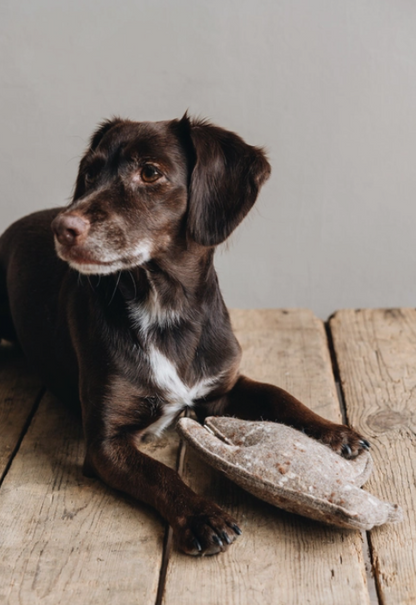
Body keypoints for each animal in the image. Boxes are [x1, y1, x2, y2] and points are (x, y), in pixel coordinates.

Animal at [0, 113, 370, 552]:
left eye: (150, 172)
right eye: (89, 173)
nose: (62, 227)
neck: (166, 308)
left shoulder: (221, 389)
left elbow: (281, 396)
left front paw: (334, 431)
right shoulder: (105, 444)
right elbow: (161, 473)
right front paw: (202, 515)